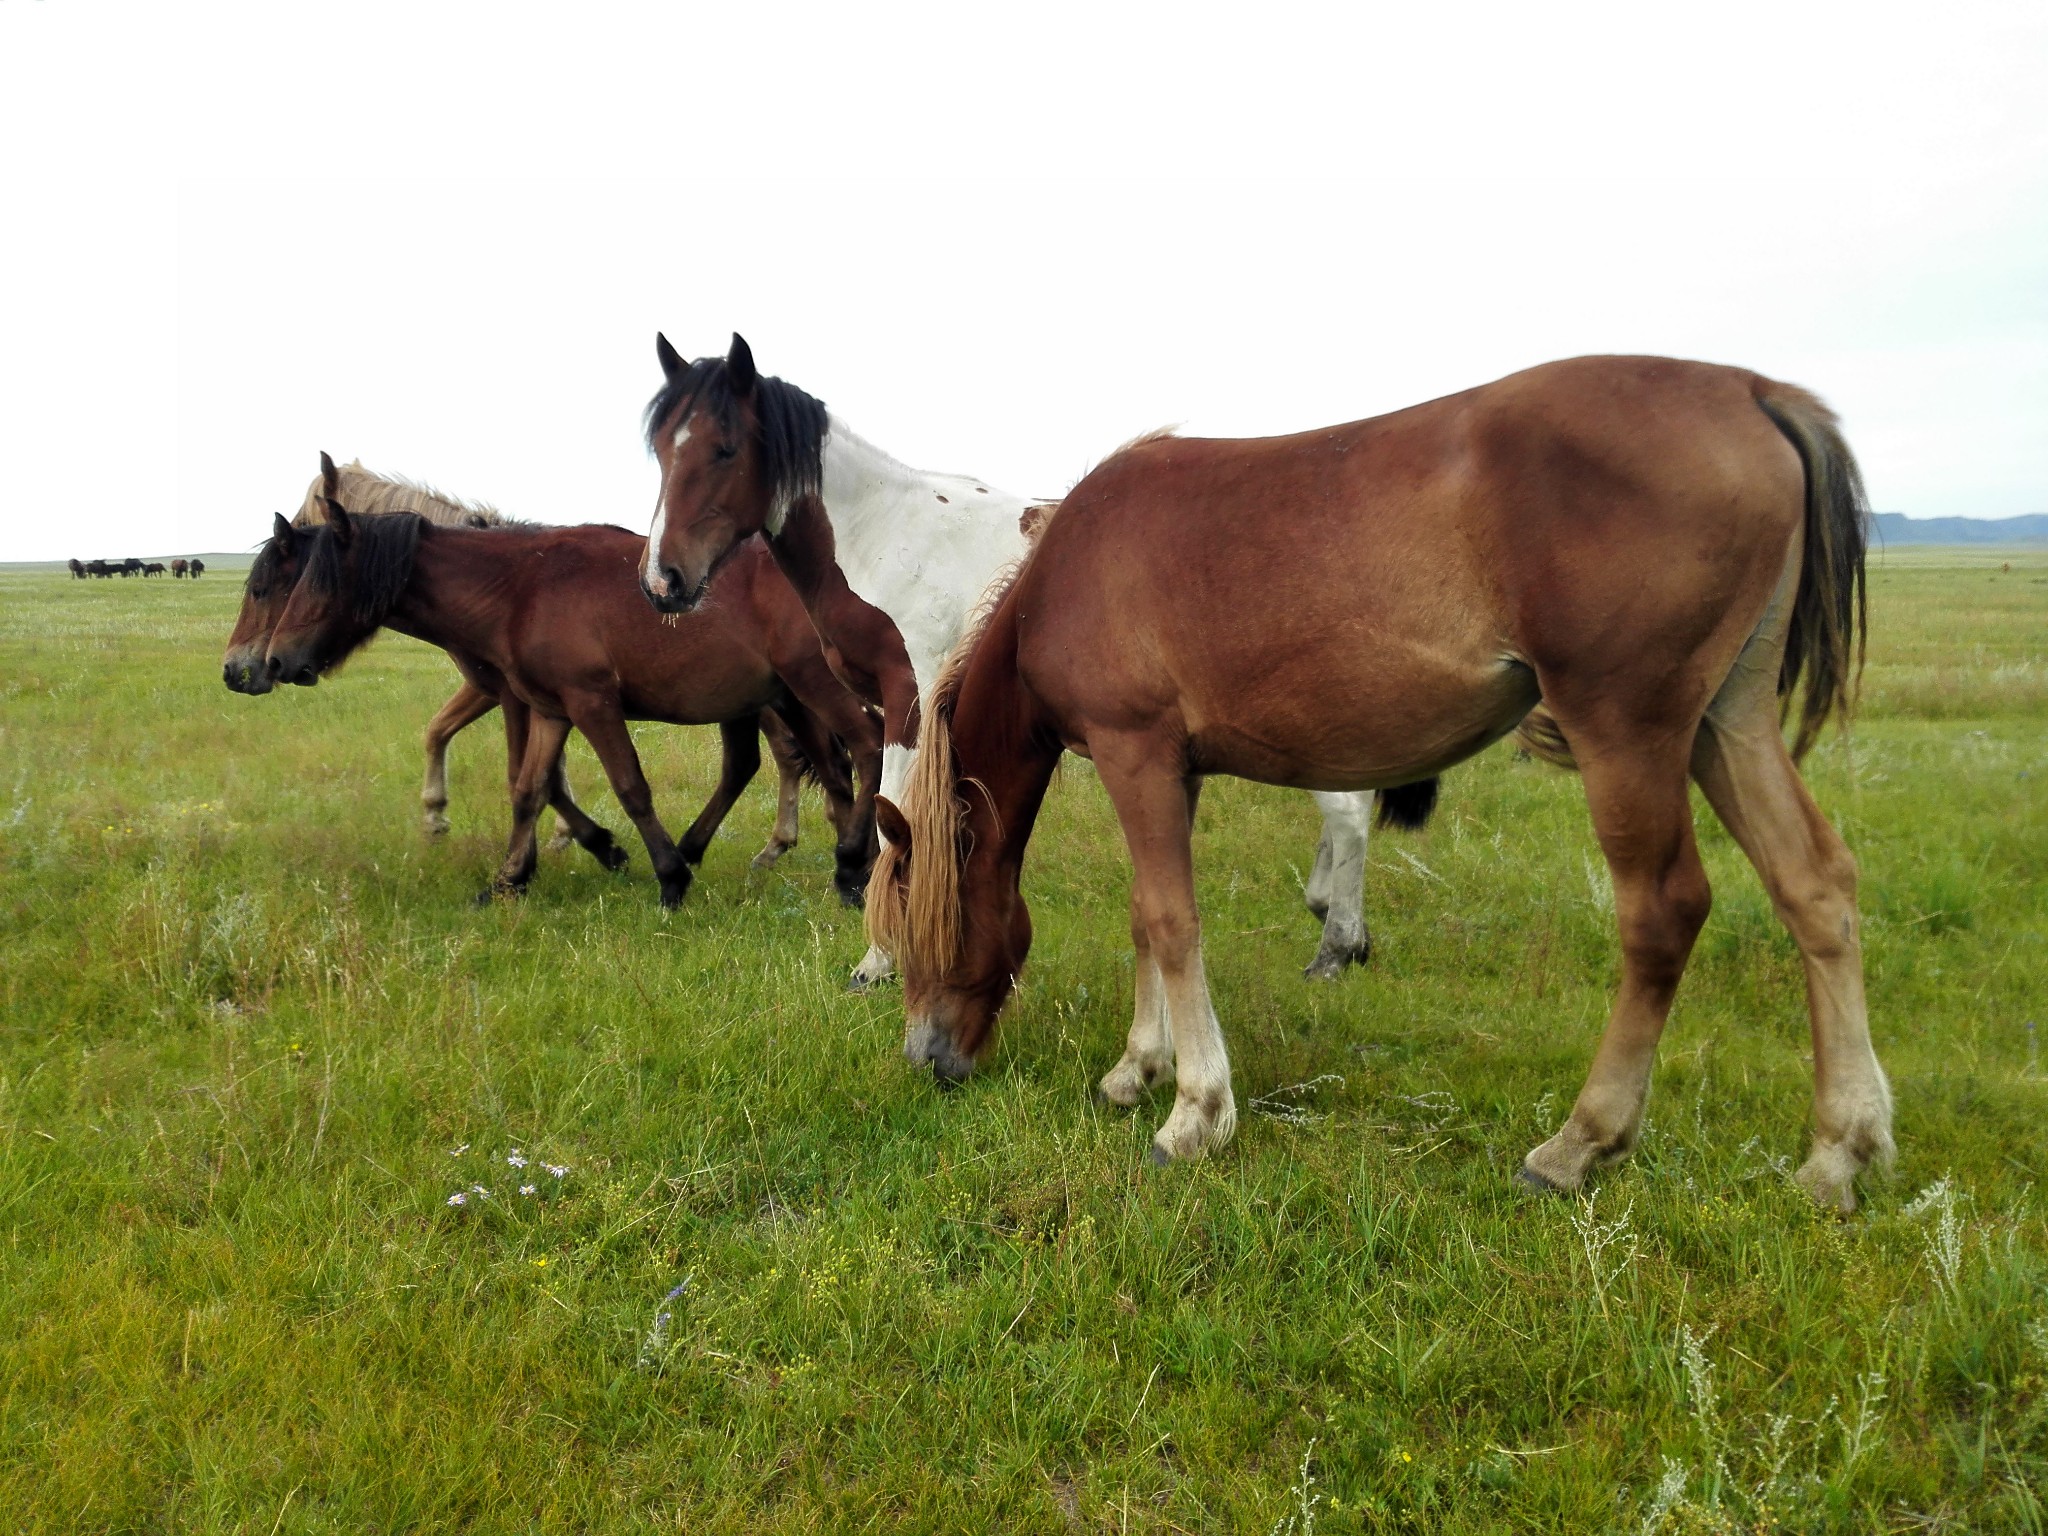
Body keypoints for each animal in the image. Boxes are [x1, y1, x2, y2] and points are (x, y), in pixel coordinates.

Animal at [638, 331, 1425, 991]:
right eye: (661, 449)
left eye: (726, 448)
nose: (664, 581)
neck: (886, 532)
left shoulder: (909, 699)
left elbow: (895, 813)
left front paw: (879, 960)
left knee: (1348, 809)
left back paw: (1335, 948)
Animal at [872, 358, 1892, 1212]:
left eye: (920, 919)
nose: (926, 1059)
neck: (1066, 573)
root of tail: (1751, 390)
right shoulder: (1171, 768)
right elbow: (1145, 916)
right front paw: (1138, 1069)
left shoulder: (1136, 755)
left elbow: (1169, 920)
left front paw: (1195, 1112)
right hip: (1729, 723)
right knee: (1816, 887)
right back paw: (1840, 1150)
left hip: (1629, 731)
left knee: (1664, 912)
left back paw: (1578, 1143)